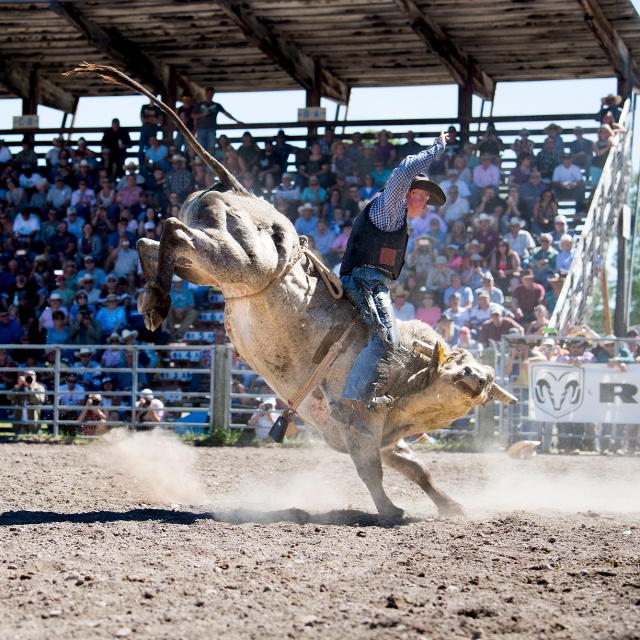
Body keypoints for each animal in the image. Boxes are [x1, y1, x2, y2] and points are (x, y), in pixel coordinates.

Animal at [66, 63, 516, 520]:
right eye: (461, 368)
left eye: (483, 375)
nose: (479, 378)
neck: (410, 373)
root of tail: (237, 189)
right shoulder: (359, 426)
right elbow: (370, 471)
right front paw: (391, 512)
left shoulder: (387, 439)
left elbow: (419, 470)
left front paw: (452, 506)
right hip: (242, 258)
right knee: (173, 230)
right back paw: (156, 300)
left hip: (213, 268)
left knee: (152, 242)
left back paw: (150, 297)